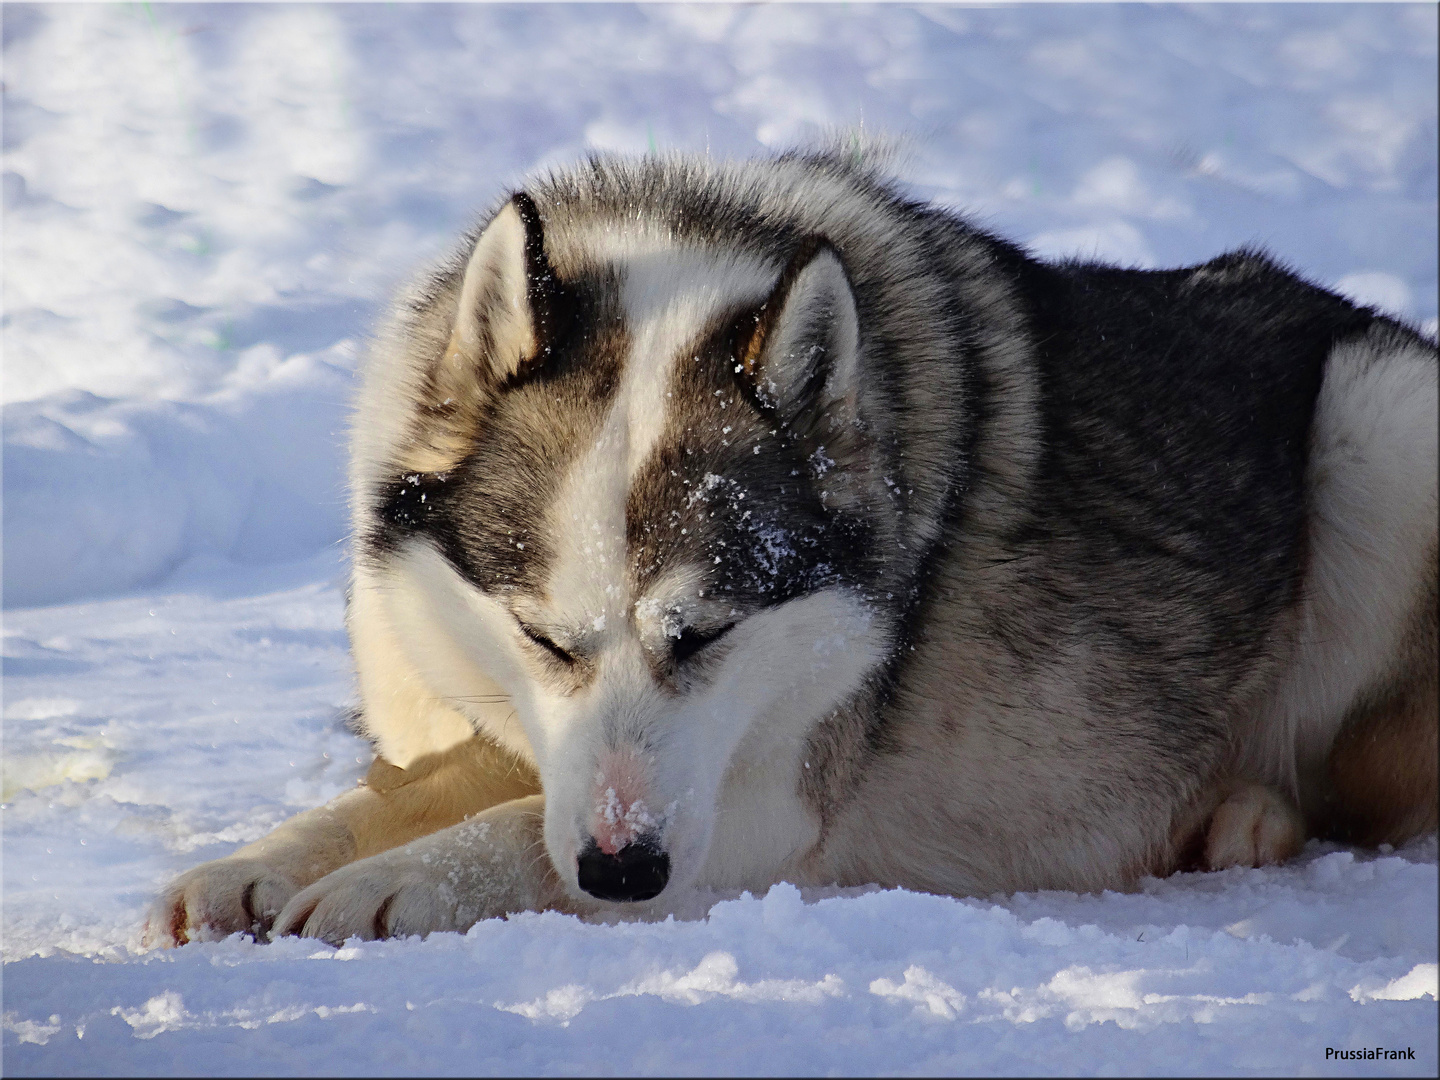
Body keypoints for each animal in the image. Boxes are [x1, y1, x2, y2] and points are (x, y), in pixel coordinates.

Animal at [149, 150, 1440, 944]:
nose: (625, 872)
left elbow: (515, 833)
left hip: (1380, 420)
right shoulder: (509, 723)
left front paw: (391, 884)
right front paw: (259, 863)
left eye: (706, 636)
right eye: (543, 640)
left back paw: (1250, 815)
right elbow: (421, 785)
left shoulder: (765, 808)